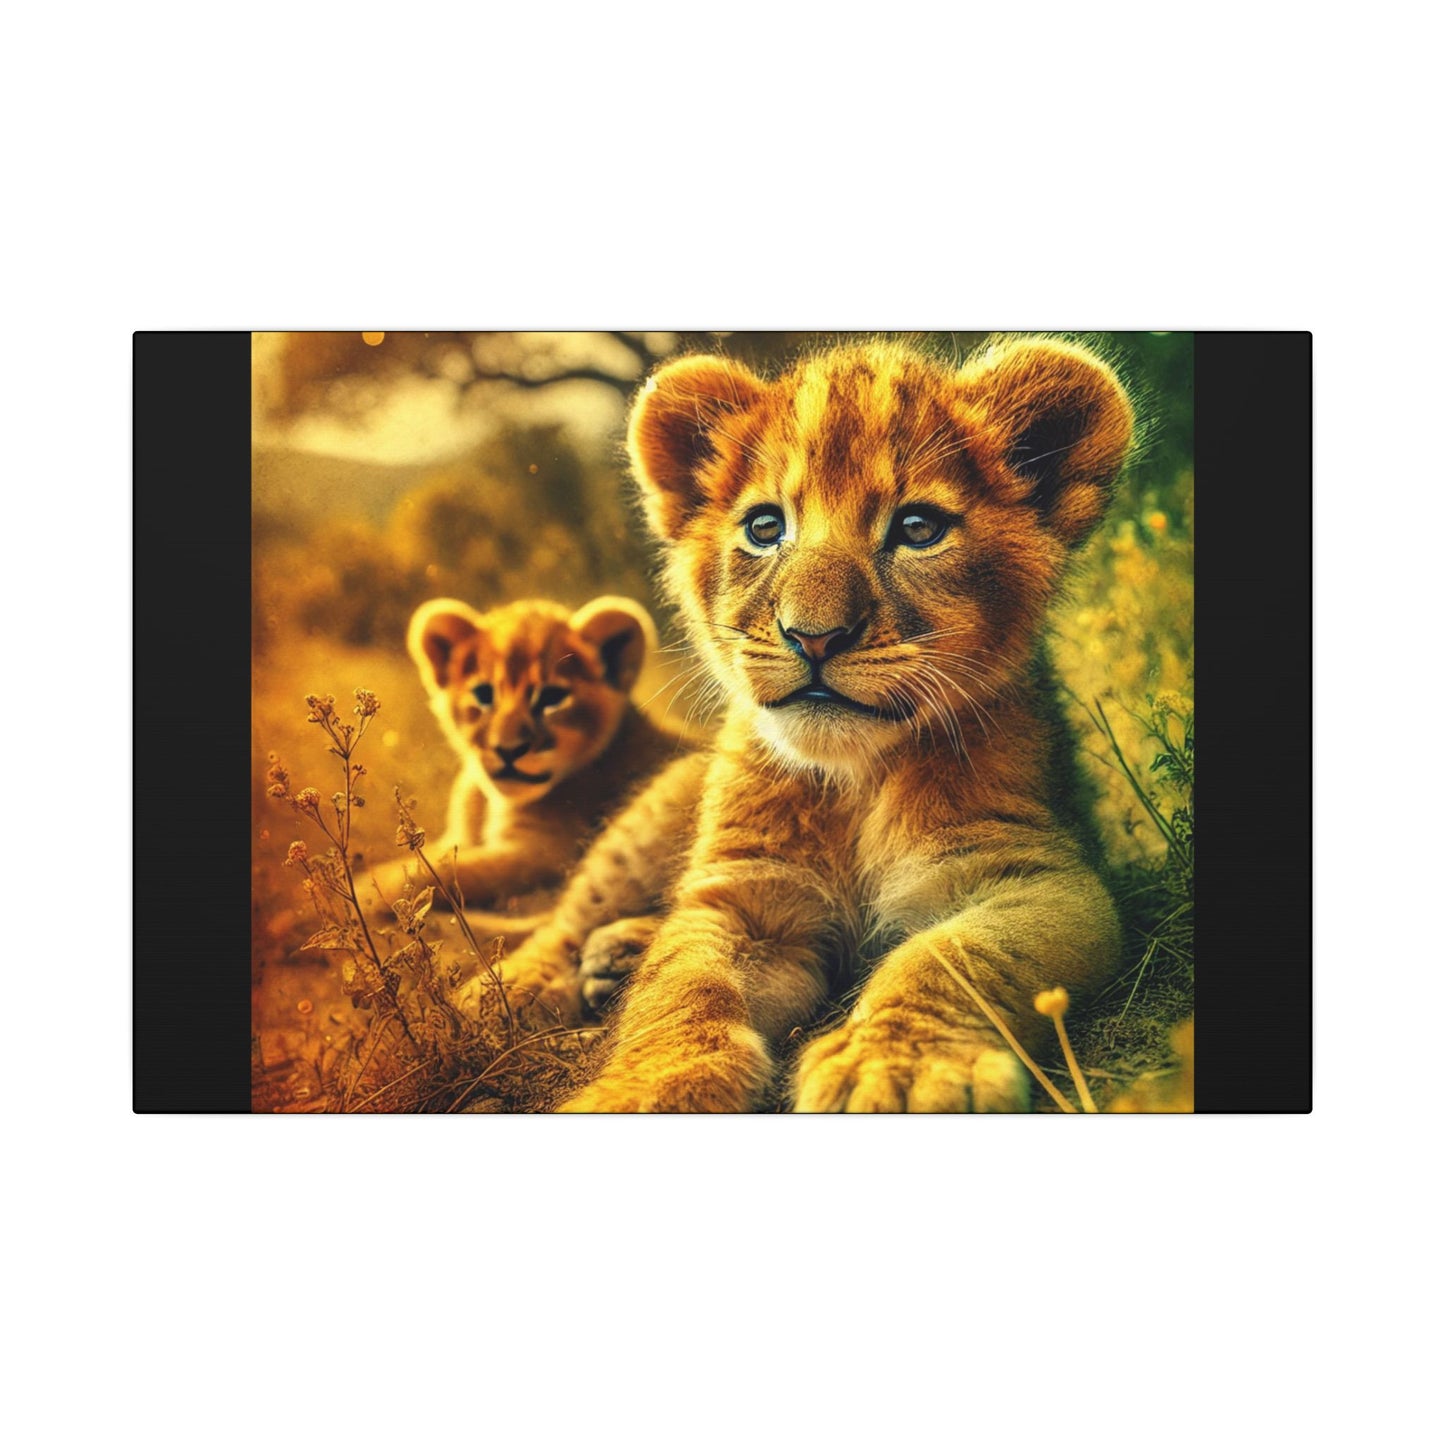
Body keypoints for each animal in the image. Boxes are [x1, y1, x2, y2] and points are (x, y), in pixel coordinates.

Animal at [532, 335, 1134, 1111]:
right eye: (764, 528)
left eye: (917, 529)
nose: (813, 637)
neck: (855, 779)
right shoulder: (744, 894)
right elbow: (681, 987)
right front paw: (643, 1090)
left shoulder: (1035, 873)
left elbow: (953, 955)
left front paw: (895, 1070)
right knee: (560, 923)